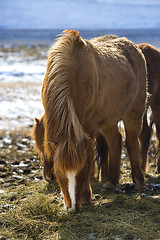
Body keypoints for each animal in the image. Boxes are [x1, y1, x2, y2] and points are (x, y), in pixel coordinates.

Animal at [41, 29, 148, 210]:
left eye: (82, 170)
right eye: (59, 171)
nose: (72, 208)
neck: (75, 74)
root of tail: (134, 48)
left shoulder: (89, 124)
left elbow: (89, 156)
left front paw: (85, 197)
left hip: (134, 113)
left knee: (132, 142)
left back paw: (139, 181)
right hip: (108, 120)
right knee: (115, 141)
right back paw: (110, 182)